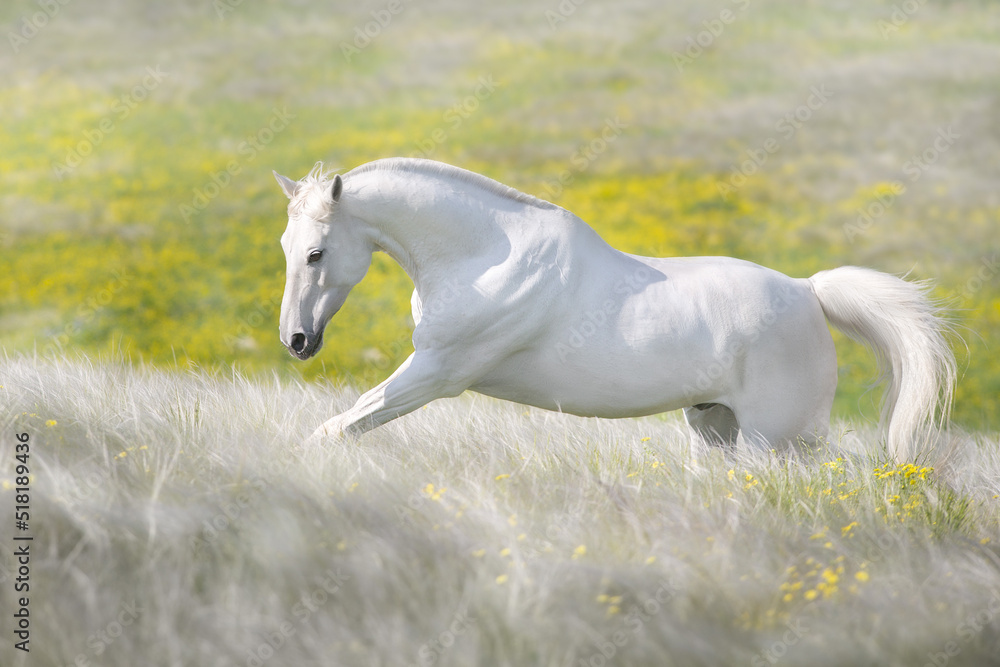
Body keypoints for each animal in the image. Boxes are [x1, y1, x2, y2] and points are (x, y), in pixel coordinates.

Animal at [270, 159, 956, 462]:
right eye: (284, 247)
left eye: (315, 252)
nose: (296, 340)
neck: (488, 256)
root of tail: (808, 291)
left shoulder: (436, 374)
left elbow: (338, 426)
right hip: (716, 426)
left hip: (779, 437)